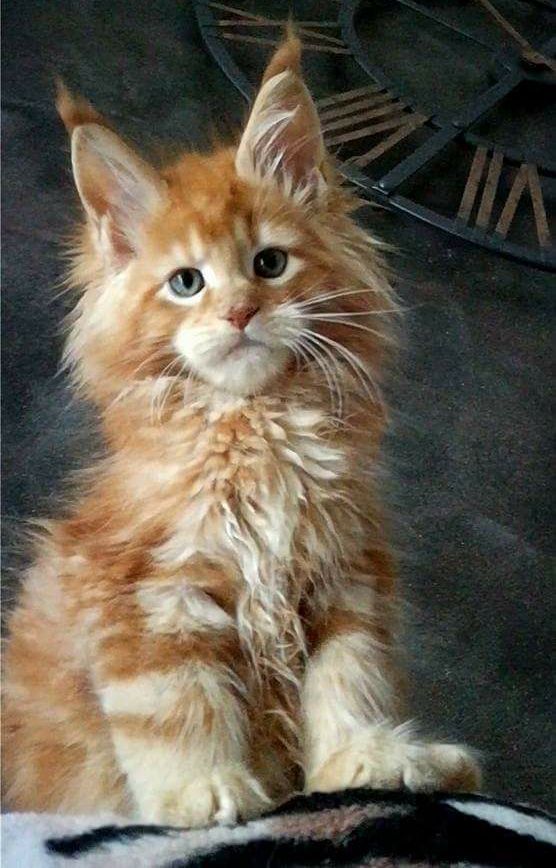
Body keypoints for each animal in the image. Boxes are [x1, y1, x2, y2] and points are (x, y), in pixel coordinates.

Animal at [1, 37, 478, 824]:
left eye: (270, 263)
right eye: (186, 282)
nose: (240, 313)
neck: (257, 432)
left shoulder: (345, 582)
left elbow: (350, 682)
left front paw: (367, 760)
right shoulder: (146, 592)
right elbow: (174, 707)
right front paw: (202, 790)